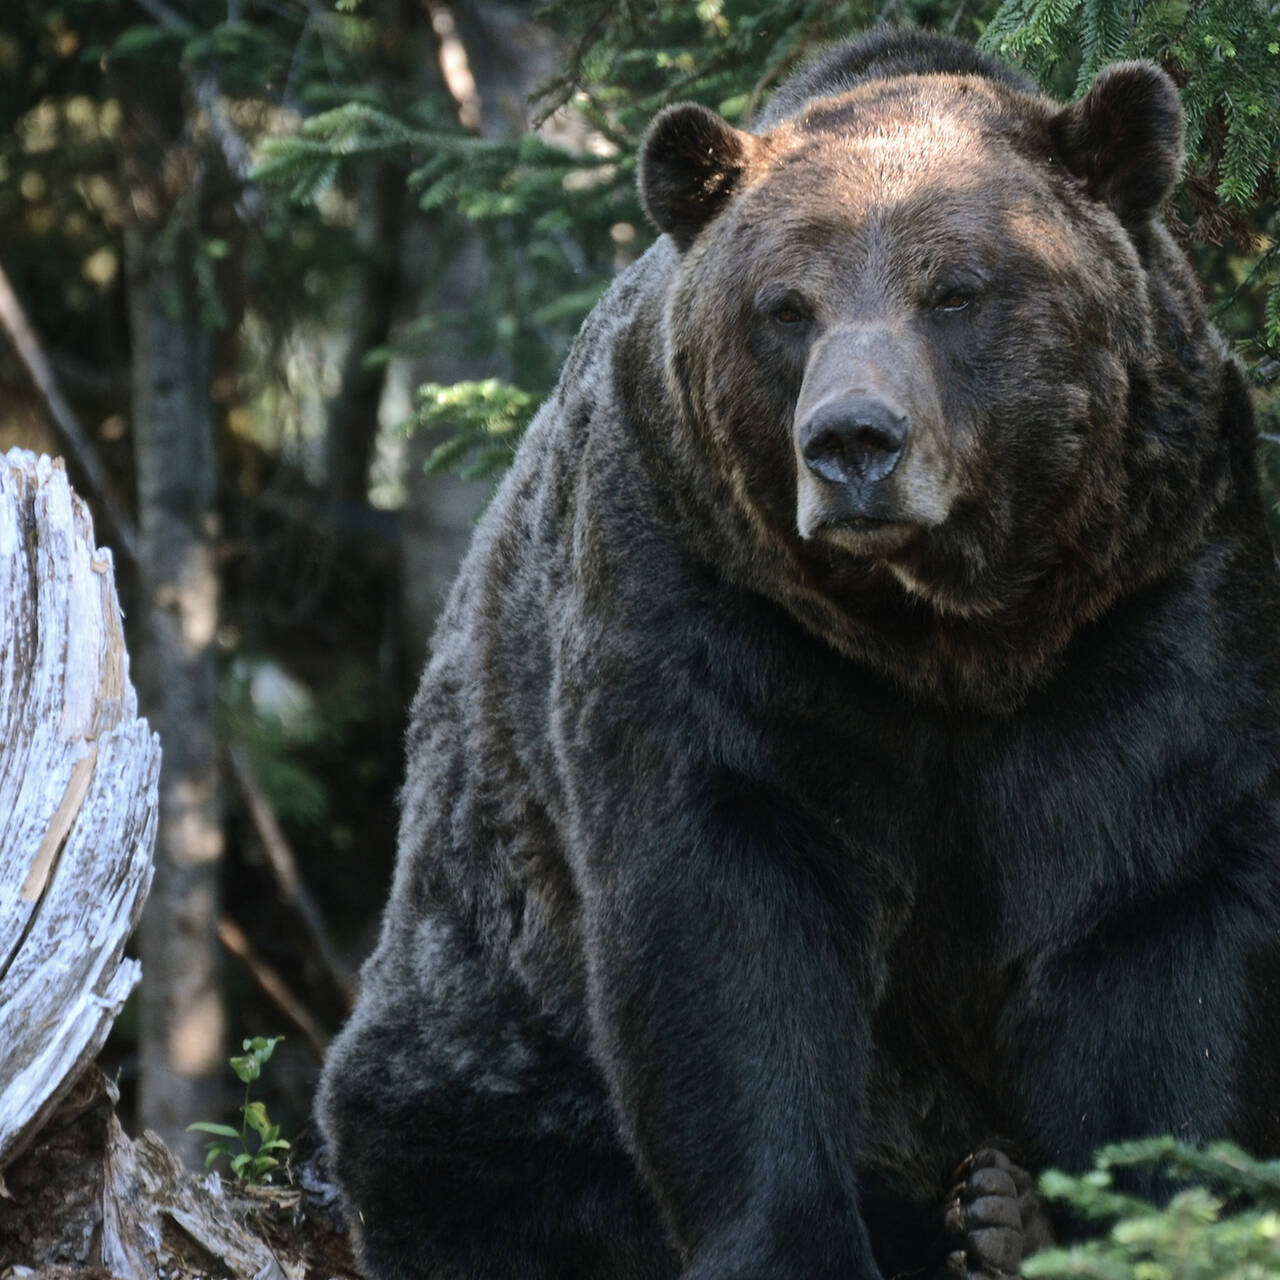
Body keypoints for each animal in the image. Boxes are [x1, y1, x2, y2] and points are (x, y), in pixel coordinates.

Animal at [322, 27, 1280, 1280]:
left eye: (955, 289)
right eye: (784, 306)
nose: (850, 441)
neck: (951, 631)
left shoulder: (1142, 602)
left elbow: (1150, 909)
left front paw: (1135, 1217)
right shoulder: (712, 601)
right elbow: (729, 920)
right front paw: (793, 1236)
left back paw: (997, 1210)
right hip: (484, 1012)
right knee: (481, 1148)